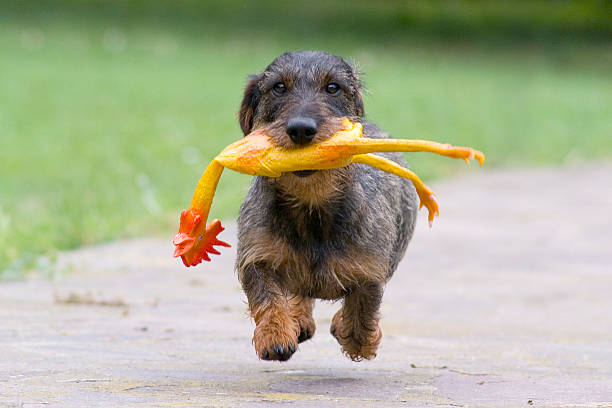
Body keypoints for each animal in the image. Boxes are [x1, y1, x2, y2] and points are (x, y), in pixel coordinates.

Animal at [233, 50, 416, 360]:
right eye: (279, 87)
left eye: (333, 87)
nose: (301, 129)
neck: (312, 203)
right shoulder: (256, 255)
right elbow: (266, 295)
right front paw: (274, 334)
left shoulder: (370, 270)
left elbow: (363, 309)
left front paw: (355, 337)